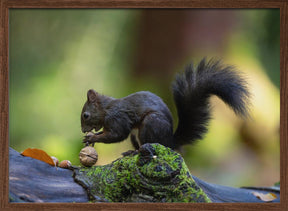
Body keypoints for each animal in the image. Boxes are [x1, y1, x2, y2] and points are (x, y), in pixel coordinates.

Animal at [80, 57, 250, 150]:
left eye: (85, 115)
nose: (82, 131)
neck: (106, 109)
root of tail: (170, 142)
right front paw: (90, 137)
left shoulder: (117, 118)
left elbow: (116, 135)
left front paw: (93, 138)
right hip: (136, 136)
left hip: (150, 124)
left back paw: (133, 152)